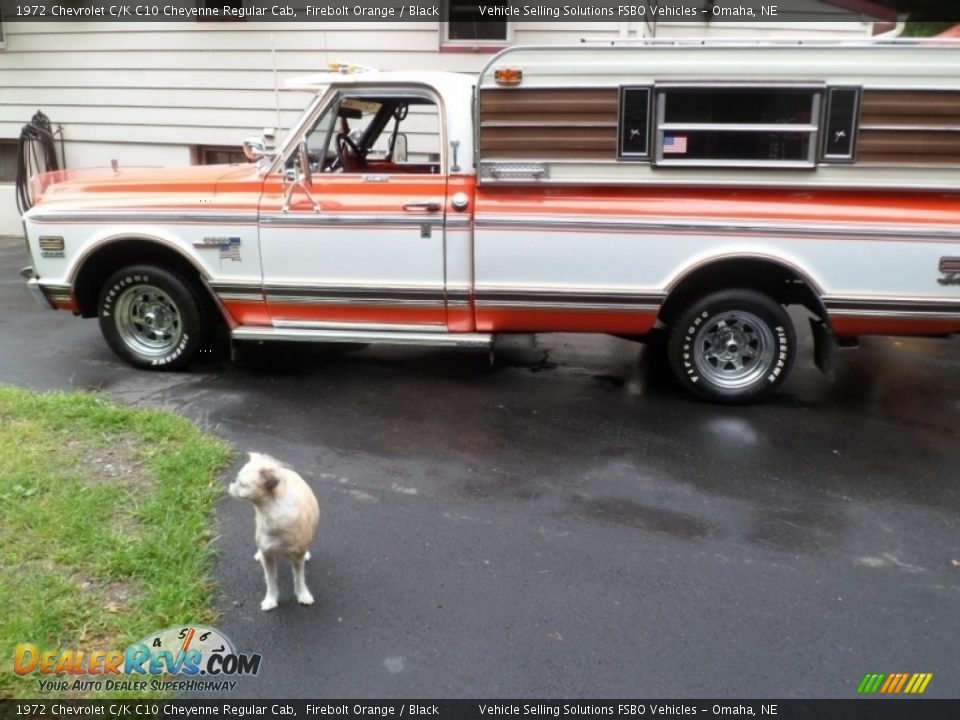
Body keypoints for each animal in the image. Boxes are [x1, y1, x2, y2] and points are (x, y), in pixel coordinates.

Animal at [228, 452, 318, 612]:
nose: (231, 484)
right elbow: (270, 581)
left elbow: (299, 578)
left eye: (242, 484)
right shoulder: (268, 556)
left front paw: (303, 595)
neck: (272, 510)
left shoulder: (297, 557)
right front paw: (271, 600)